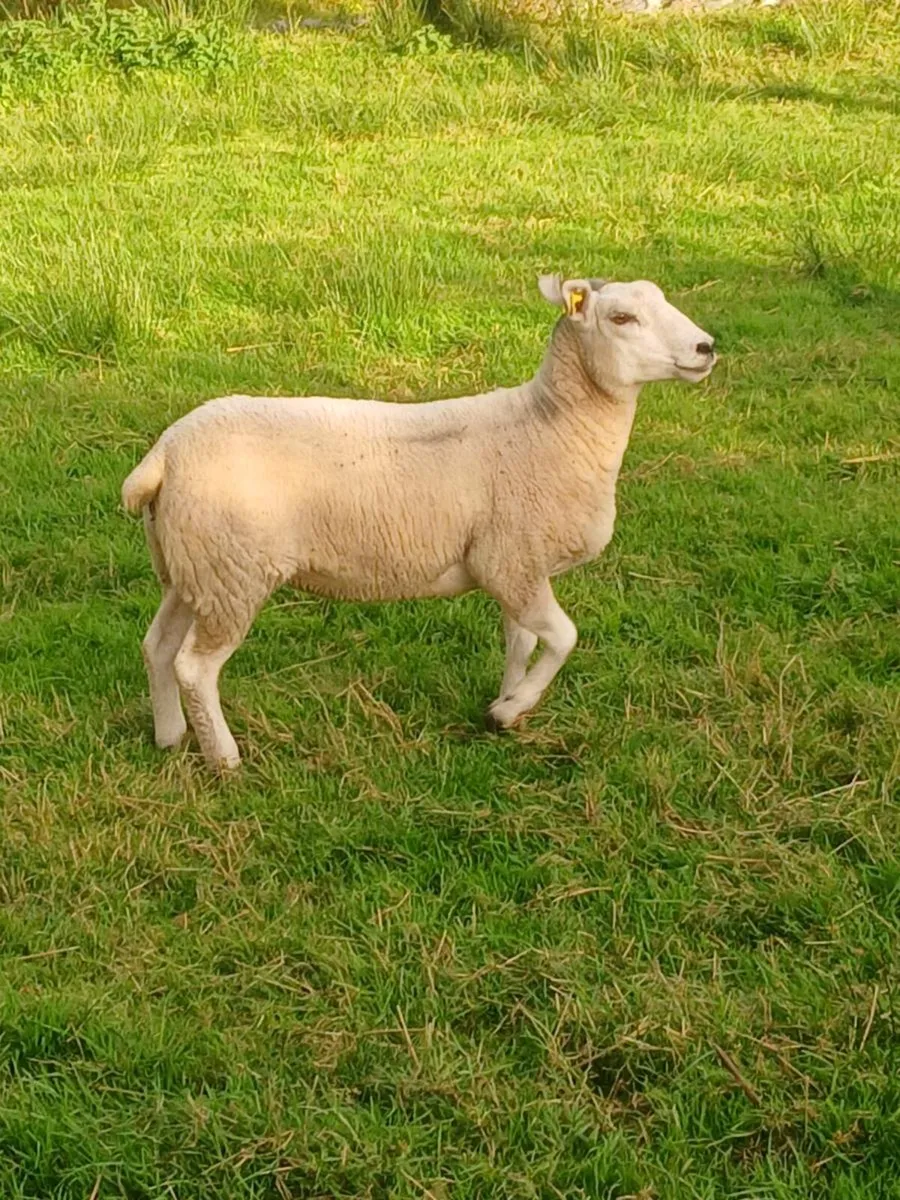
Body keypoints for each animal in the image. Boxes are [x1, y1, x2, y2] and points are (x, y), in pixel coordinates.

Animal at [122, 274, 716, 771]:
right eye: (621, 318)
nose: (706, 347)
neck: (548, 428)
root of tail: (165, 454)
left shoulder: (518, 566)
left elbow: (521, 642)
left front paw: (504, 704)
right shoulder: (508, 561)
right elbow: (565, 638)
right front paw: (512, 710)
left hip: (194, 567)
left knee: (157, 647)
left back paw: (169, 736)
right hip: (233, 571)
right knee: (195, 667)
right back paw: (224, 758)